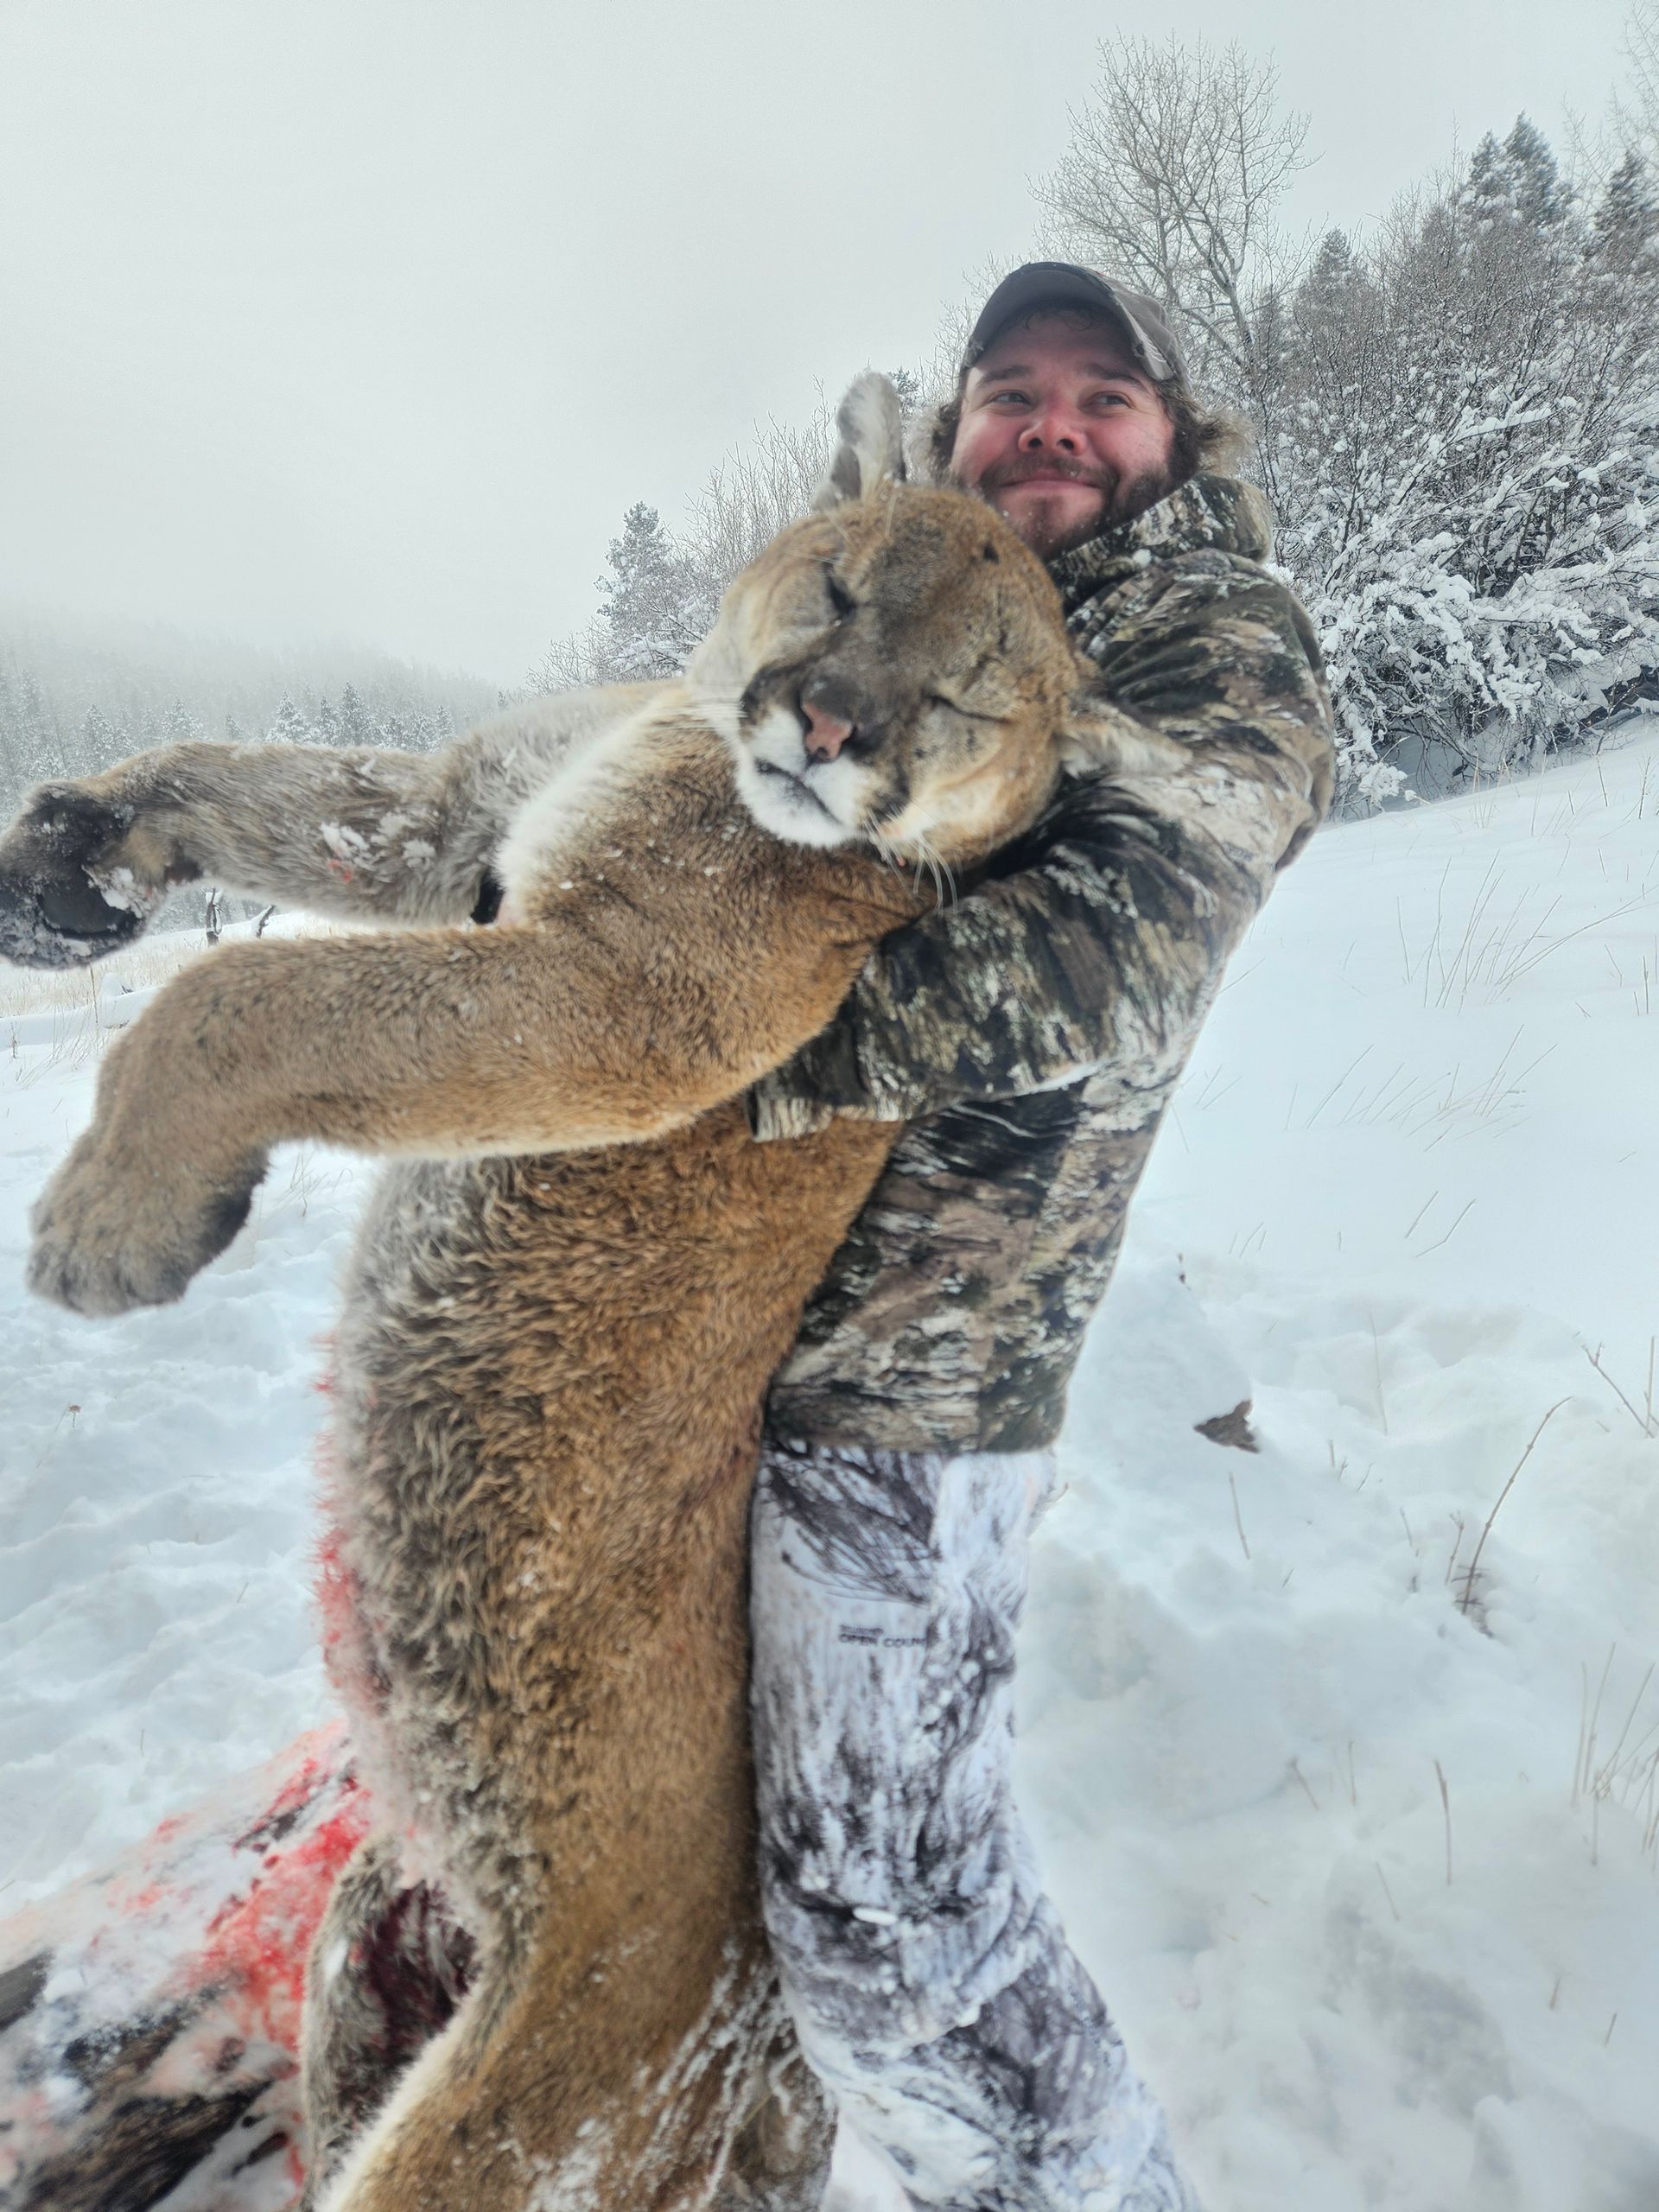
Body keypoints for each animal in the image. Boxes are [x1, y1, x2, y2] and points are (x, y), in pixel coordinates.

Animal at [0, 377, 1182, 2211]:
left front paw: (114, 1217)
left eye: (969, 696)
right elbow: (284, 789)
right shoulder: (453, 823)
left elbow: (244, 995)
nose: (831, 727)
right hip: (370, 1946)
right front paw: (82, 850)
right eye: (843, 589)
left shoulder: (612, 999)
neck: (688, 723)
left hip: (509, 2126)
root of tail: (781, 2080)